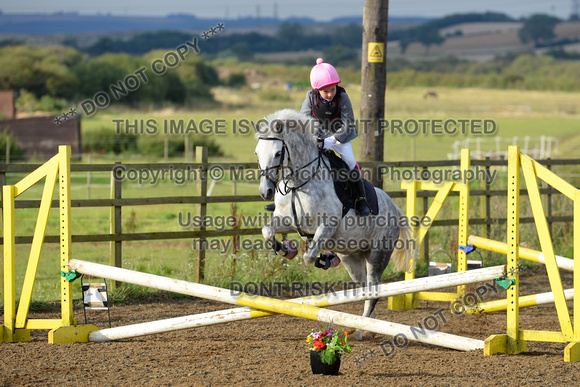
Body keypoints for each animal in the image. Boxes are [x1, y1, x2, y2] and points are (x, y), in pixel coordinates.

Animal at [254, 109, 416, 336]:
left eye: (278, 153)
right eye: (257, 153)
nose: (265, 191)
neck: (298, 184)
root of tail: (394, 207)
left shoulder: (326, 226)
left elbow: (308, 256)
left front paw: (323, 260)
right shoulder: (286, 220)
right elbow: (268, 231)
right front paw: (285, 250)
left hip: (377, 255)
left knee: (373, 290)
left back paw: (362, 329)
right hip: (352, 258)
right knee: (364, 288)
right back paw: (367, 327)